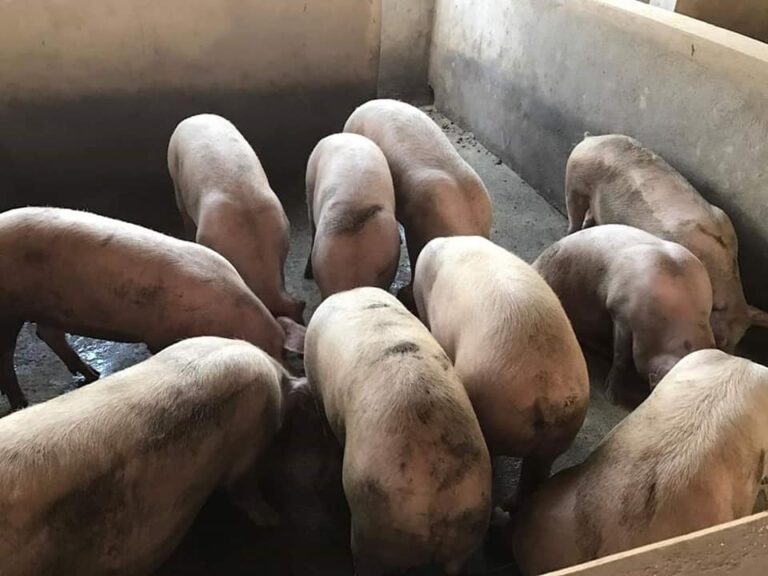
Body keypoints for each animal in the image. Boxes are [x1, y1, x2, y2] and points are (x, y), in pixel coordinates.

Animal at [0, 207, 305, 411]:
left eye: (283, 354)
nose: (295, 378)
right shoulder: (159, 335)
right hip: (10, 307)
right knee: (9, 352)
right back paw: (21, 403)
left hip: (51, 305)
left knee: (48, 334)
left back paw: (92, 374)